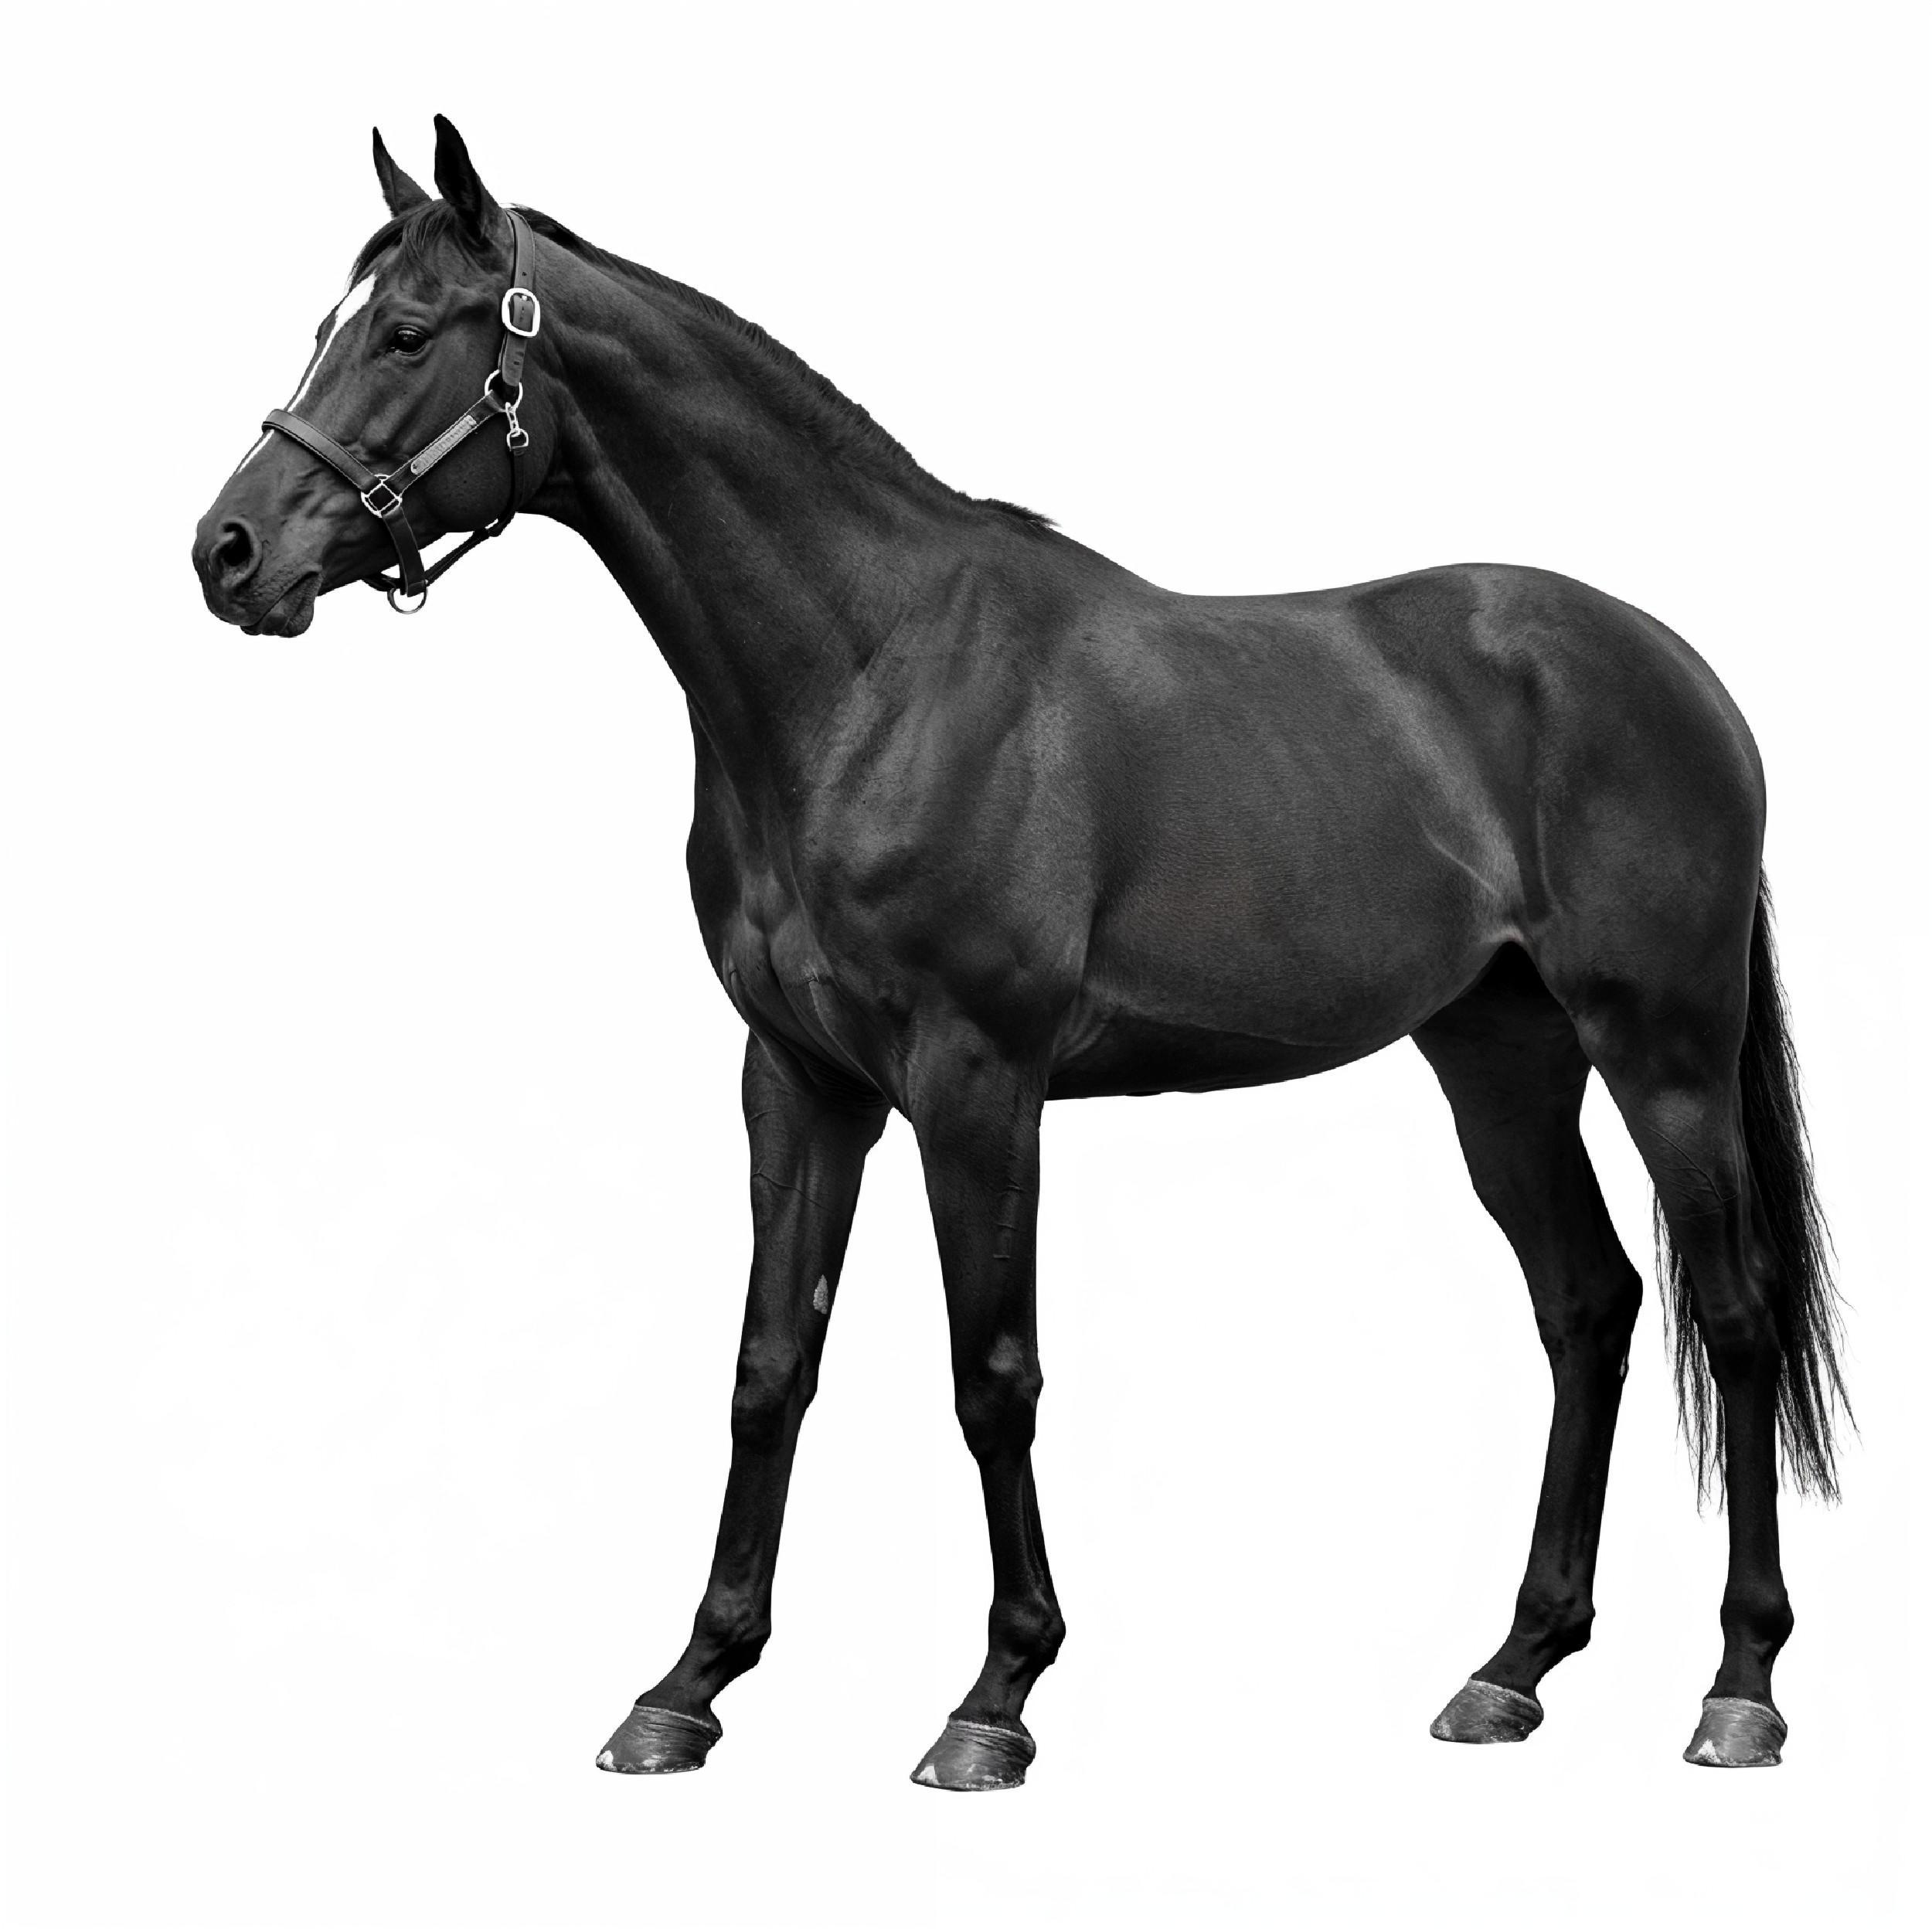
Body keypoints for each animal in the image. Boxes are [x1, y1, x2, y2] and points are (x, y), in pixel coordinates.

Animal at [192, 117, 1848, 1790]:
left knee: (1732, 1311)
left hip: (1662, 1049)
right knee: (1587, 1306)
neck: (867, 672)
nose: (228, 550)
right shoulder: (798, 1081)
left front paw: (994, 1696)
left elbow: (991, 1374)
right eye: (330, 323)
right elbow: (767, 1368)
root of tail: (1675, 672)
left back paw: (1740, 1685)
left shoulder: (974, 1080)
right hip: (1497, 1058)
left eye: (409, 332)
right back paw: (1510, 1669)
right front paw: (688, 1686)